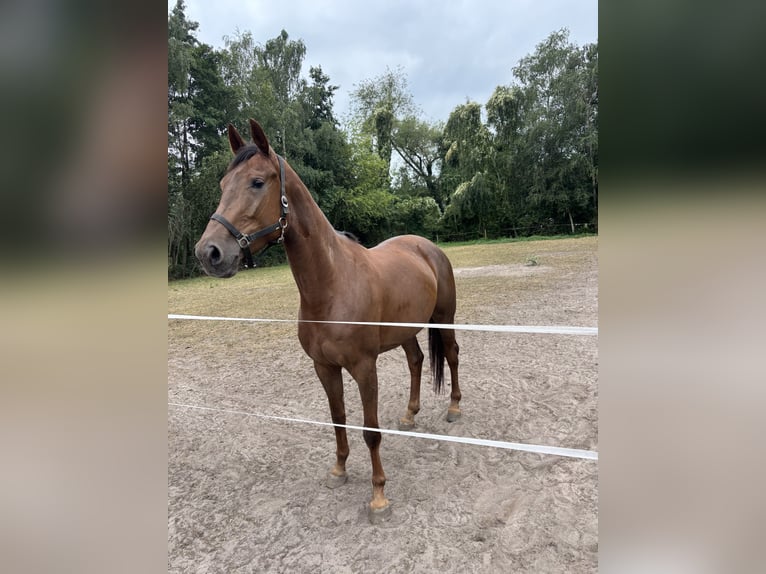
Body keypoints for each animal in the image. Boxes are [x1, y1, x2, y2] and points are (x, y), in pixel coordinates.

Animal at [194, 119, 462, 523]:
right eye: (224, 185)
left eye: (257, 182)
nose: (209, 253)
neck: (332, 286)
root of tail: (426, 247)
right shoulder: (324, 367)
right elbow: (337, 418)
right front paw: (338, 471)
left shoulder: (365, 368)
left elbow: (370, 431)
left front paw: (378, 497)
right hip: (405, 330)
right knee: (416, 361)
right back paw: (409, 415)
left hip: (444, 318)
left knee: (453, 355)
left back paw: (455, 408)